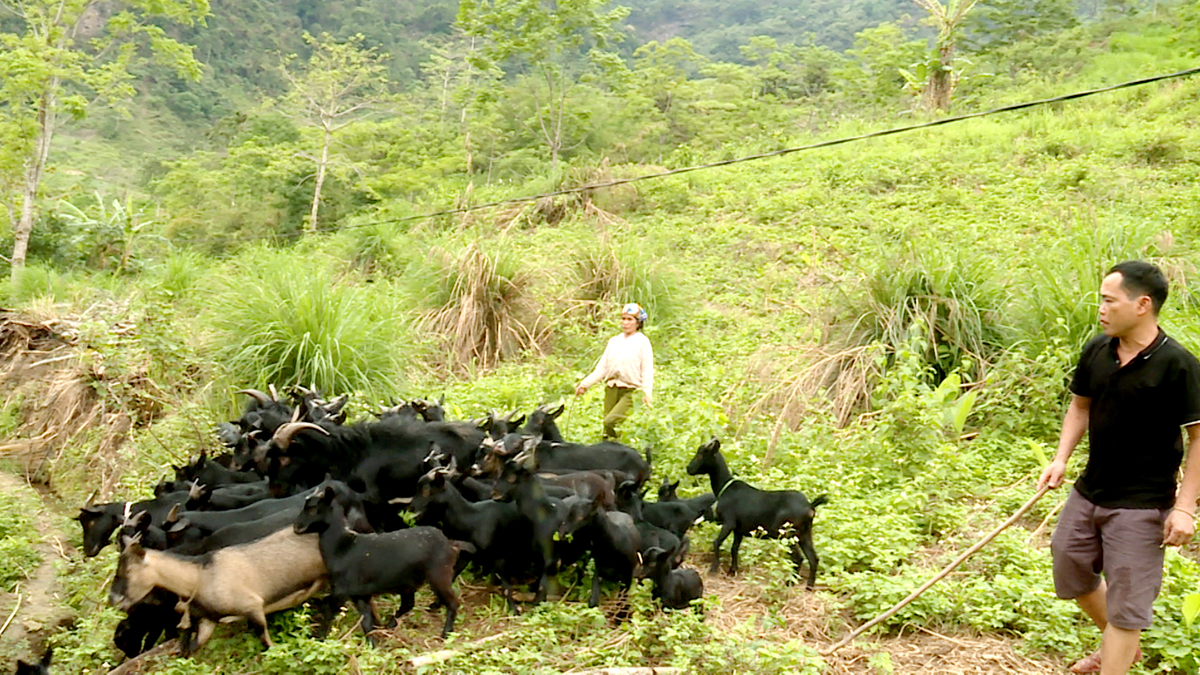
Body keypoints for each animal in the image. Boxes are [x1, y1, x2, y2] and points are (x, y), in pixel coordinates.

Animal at [292, 482, 470, 638]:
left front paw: (318, 637)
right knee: (408, 604)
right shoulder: (360, 594)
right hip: (408, 583)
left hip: (439, 575)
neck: (342, 546)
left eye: (313, 509)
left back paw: (446, 633)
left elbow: (328, 610)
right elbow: (366, 622)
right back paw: (389, 625)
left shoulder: (341, 591)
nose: (296, 527)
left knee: (452, 602)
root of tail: (451, 544)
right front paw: (373, 644)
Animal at [686, 437, 825, 583]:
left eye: (701, 455)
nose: (688, 468)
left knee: (798, 558)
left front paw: (713, 570)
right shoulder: (739, 529)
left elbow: (717, 543)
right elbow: (734, 548)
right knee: (813, 558)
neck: (725, 487)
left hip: (788, 533)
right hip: (804, 533)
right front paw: (733, 571)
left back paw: (789, 583)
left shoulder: (729, 522)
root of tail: (810, 506)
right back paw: (809, 585)